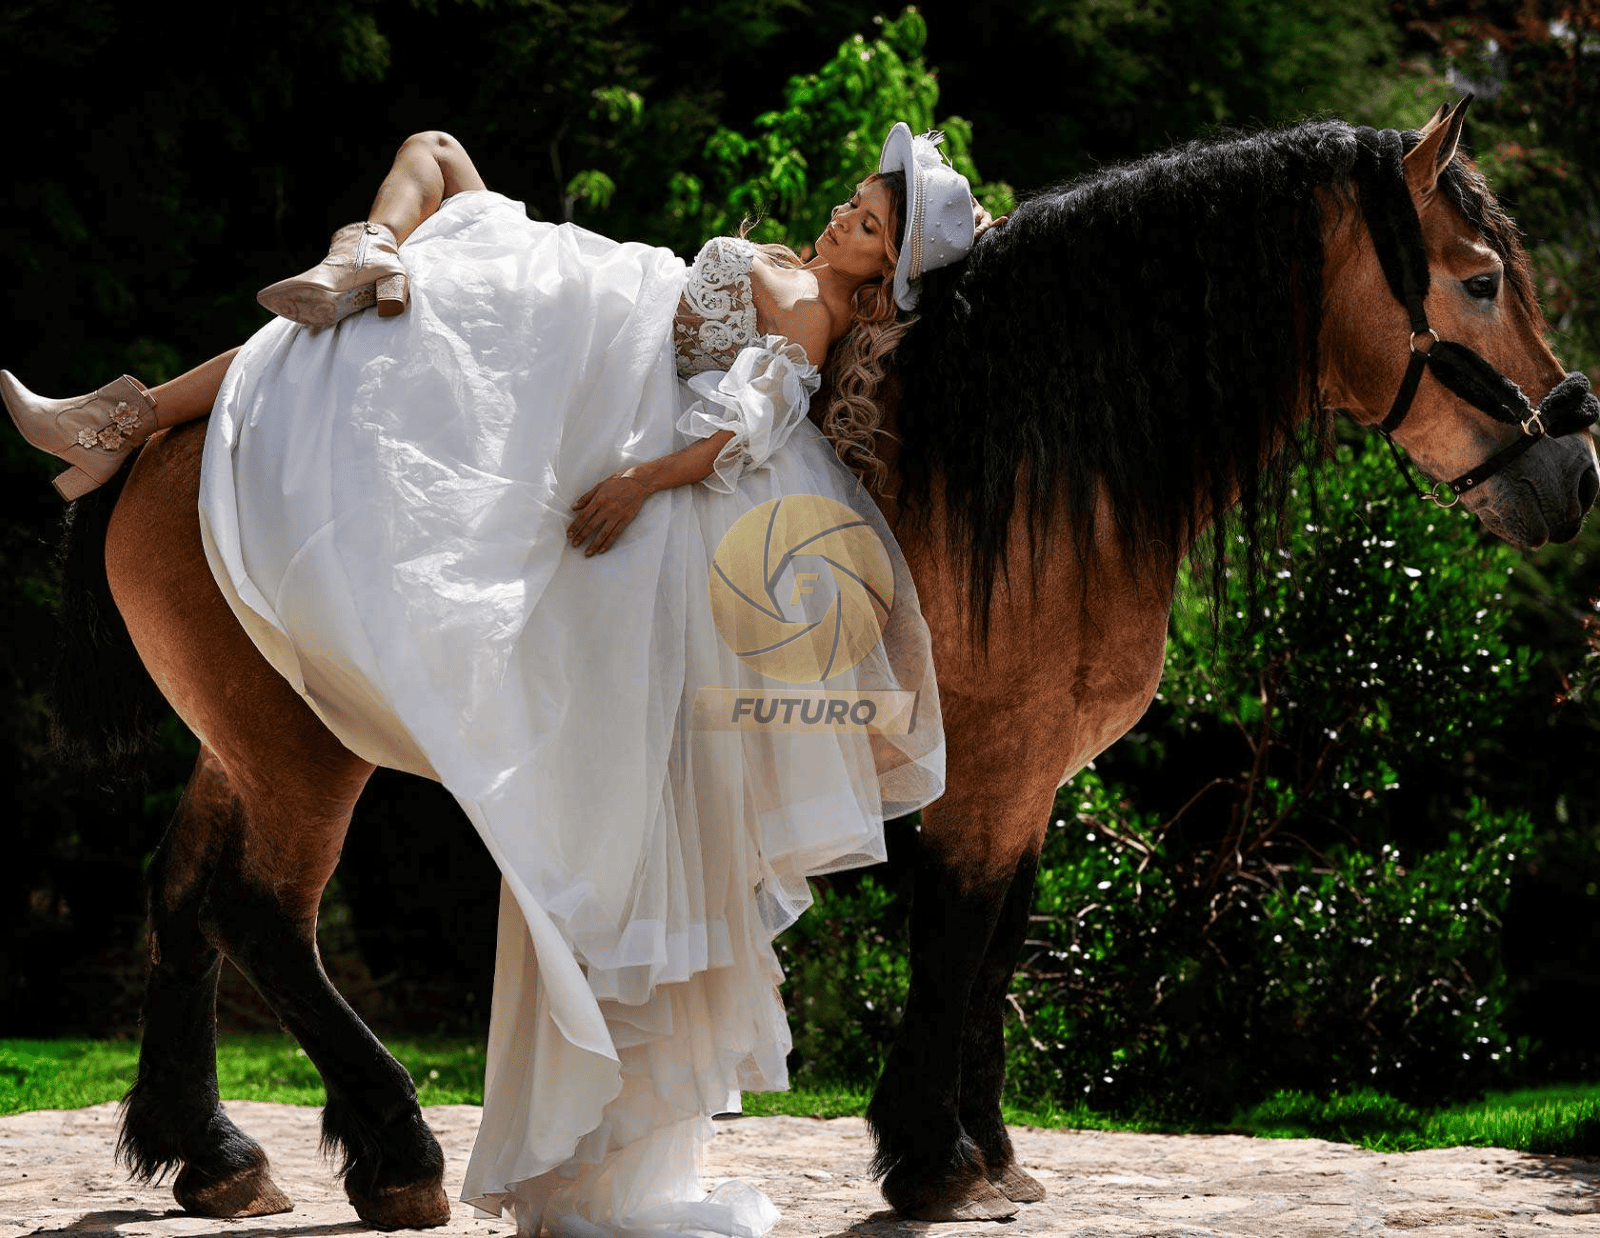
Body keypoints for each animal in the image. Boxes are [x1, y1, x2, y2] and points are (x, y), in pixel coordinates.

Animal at [55, 98, 1598, 1228]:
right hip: (308, 751)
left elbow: (999, 942)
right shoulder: (995, 765)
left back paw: (211, 1152)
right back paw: (393, 1153)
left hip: (257, 729)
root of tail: (171, 431)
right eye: (1477, 281)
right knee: (259, 908)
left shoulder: (1028, 771)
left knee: (183, 886)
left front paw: (989, 1151)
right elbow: (961, 936)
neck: (1021, 462)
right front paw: (929, 1158)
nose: (1574, 470)